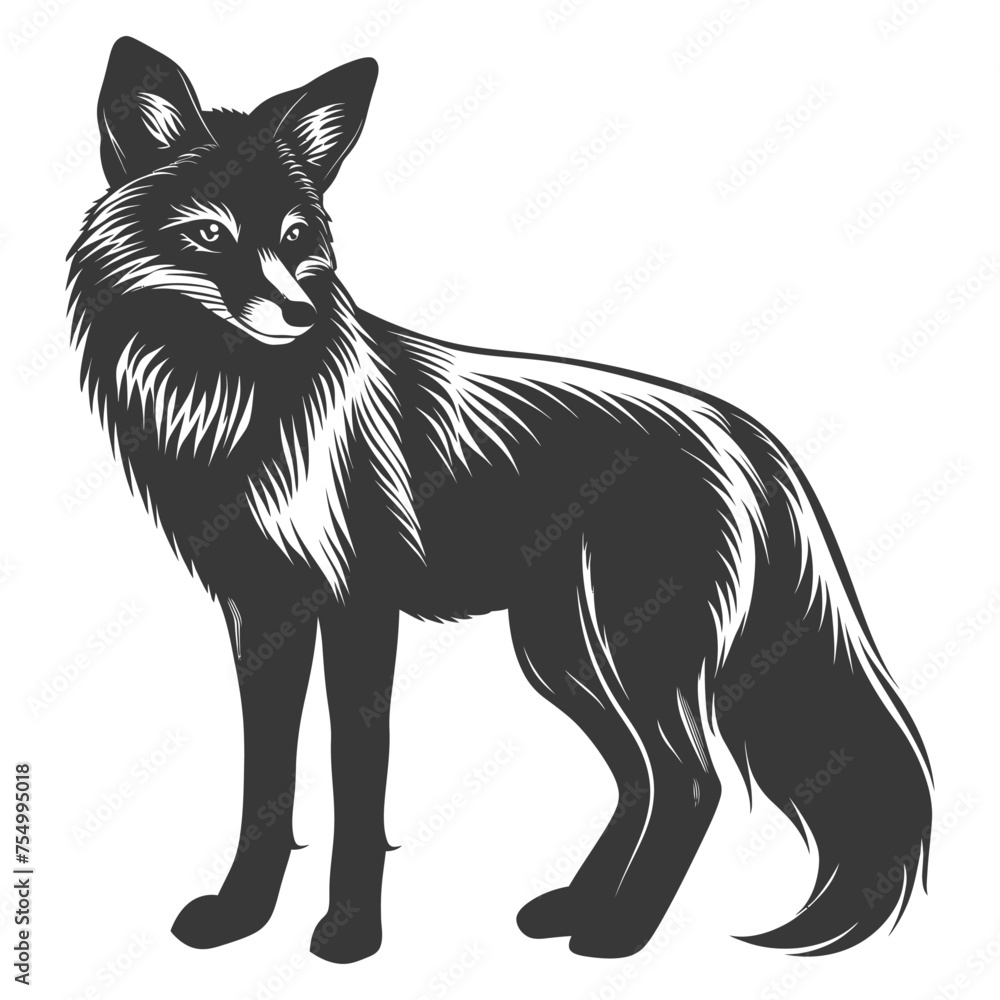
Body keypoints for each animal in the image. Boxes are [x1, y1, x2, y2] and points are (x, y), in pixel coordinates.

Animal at [68, 36, 932, 964]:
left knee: (692, 780)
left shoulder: (360, 609)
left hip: (637, 649)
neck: (239, 412)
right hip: (563, 654)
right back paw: (577, 908)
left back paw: (618, 933)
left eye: (297, 237)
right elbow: (266, 784)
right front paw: (240, 917)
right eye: (208, 235)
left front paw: (349, 933)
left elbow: (356, 782)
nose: (301, 312)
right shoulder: (262, 614)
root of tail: (742, 430)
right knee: (642, 776)